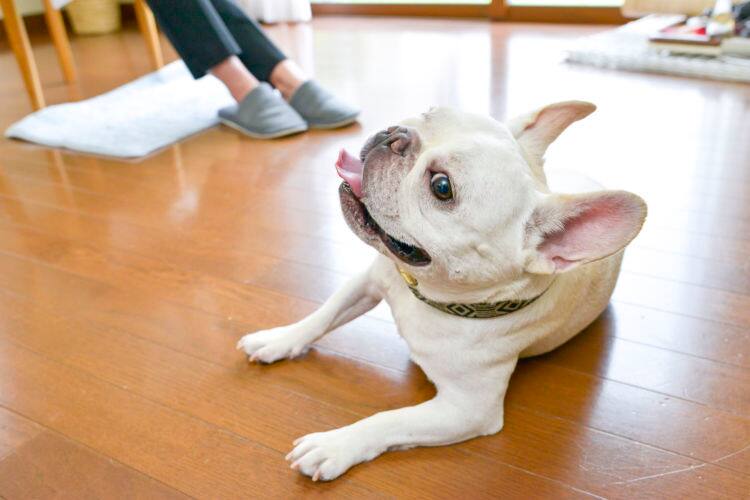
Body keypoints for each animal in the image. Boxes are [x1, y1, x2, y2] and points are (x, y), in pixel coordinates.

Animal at [237, 101, 647, 481]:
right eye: (431, 112)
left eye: (442, 187)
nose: (395, 135)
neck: (433, 295)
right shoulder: (372, 279)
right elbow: (322, 315)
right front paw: (279, 339)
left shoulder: (468, 410)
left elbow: (391, 420)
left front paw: (335, 445)